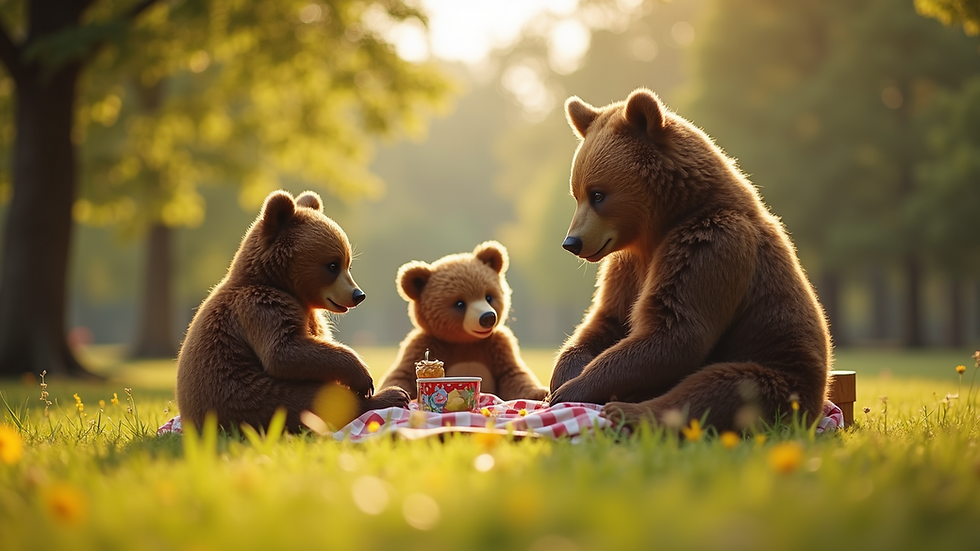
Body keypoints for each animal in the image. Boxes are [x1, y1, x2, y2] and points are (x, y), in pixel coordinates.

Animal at [175, 190, 409, 433]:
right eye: (332, 265)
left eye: (348, 264)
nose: (358, 295)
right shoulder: (260, 307)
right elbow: (284, 351)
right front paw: (363, 377)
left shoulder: (309, 314)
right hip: (256, 398)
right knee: (319, 400)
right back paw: (391, 396)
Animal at [379, 241, 549, 401]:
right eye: (460, 304)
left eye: (488, 297)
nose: (488, 317)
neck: (466, 342)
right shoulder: (424, 343)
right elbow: (402, 374)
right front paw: (393, 393)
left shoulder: (499, 346)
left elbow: (513, 375)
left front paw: (541, 392)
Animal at [547, 88, 832, 433]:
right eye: (576, 194)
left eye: (598, 194)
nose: (571, 242)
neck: (660, 227)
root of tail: (819, 400)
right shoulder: (627, 266)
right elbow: (608, 319)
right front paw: (563, 376)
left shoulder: (708, 244)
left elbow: (675, 331)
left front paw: (572, 389)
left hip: (781, 373)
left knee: (723, 387)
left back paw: (629, 411)